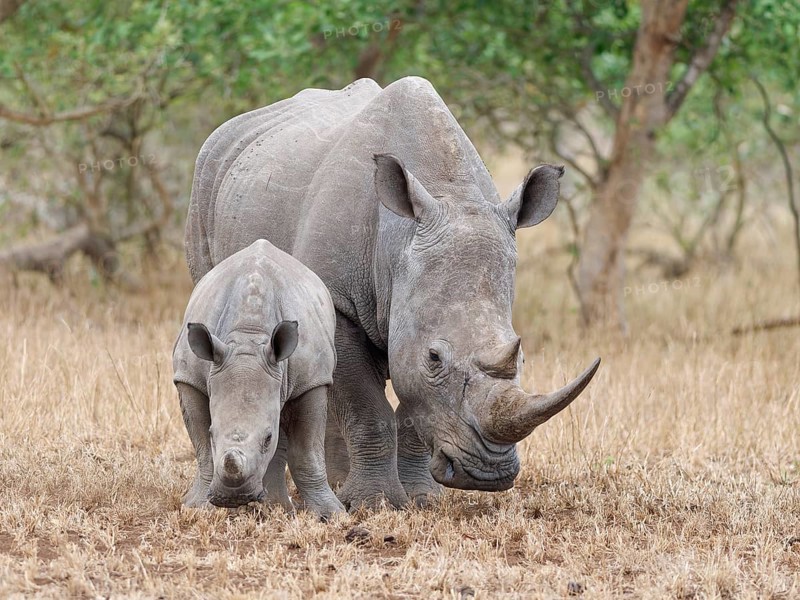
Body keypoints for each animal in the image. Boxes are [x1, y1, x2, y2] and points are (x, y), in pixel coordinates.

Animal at [173, 239, 344, 517]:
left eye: (267, 439)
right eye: (212, 434)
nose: (232, 497)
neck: (248, 337)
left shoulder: (312, 380)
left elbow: (307, 451)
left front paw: (330, 514)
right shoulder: (190, 378)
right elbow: (202, 449)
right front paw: (196, 508)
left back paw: (277, 506)